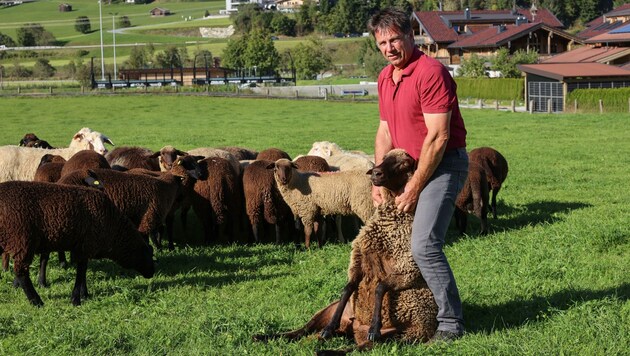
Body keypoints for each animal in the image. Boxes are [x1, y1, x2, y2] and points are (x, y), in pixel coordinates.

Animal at [0, 177, 156, 308]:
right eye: (147, 254)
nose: (152, 273)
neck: (113, 228)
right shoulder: (87, 245)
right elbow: (81, 271)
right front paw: (76, 299)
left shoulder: (82, 246)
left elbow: (83, 270)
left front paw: (83, 294)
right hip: (22, 241)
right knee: (21, 272)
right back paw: (37, 301)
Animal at [253, 147, 440, 350]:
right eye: (384, 158)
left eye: (404, 163)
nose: (376, 173)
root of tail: (353, 331)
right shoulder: (358, 261)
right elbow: (347, 288)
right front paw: (330, 326)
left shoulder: (407, 269)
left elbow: (380, 288)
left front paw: (374, 326)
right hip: (327, 310)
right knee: (302, 331)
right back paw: (267, 336)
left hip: (397, 337)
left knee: (350, 348)